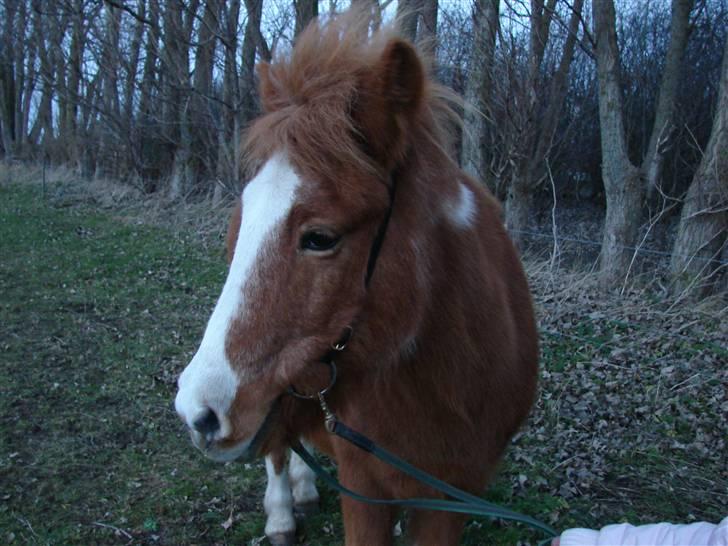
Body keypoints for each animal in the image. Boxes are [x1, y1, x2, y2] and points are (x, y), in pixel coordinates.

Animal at [176, 12, 536, 544]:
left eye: (320, 238)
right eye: (241, 228)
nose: (197, 412)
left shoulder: (449, 497)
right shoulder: (363, 485)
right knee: (277, 447)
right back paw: (282, 511)